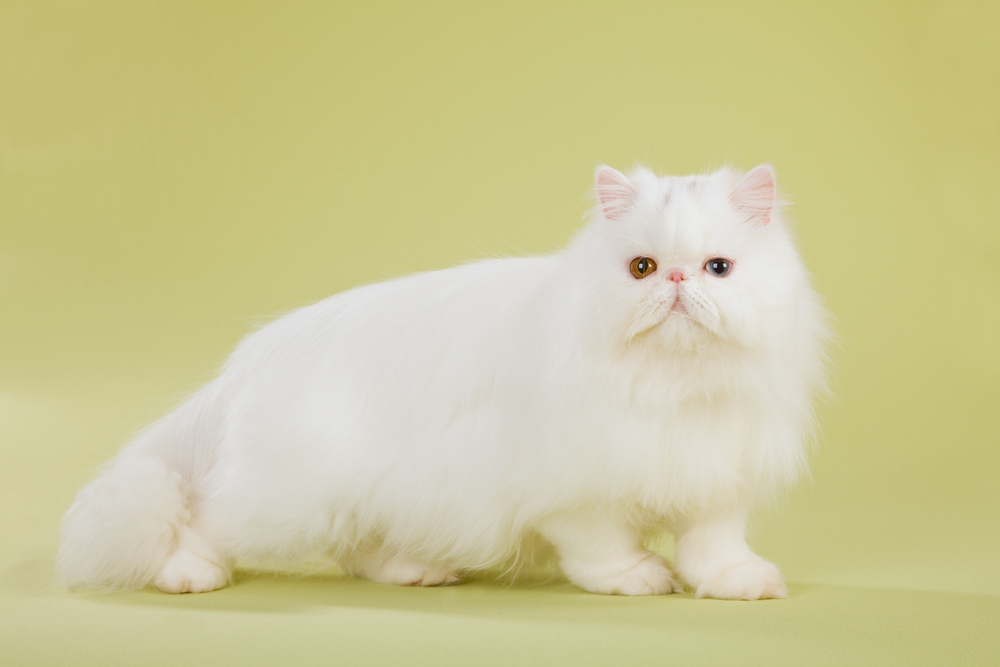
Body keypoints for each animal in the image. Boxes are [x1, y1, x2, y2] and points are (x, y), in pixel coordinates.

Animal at [58, 163, 832, 600]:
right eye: (642, 268)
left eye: (717, 269)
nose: (674, 281)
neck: (672, 384)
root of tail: (249, 359)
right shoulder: (578, 489)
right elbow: (604, 546)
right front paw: (637, 579)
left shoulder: (717, 476)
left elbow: (714, 546)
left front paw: (737, 584)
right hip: (282, 494)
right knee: (200, 519)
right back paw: (186, 574)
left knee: (357, 548)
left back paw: (414, 570)